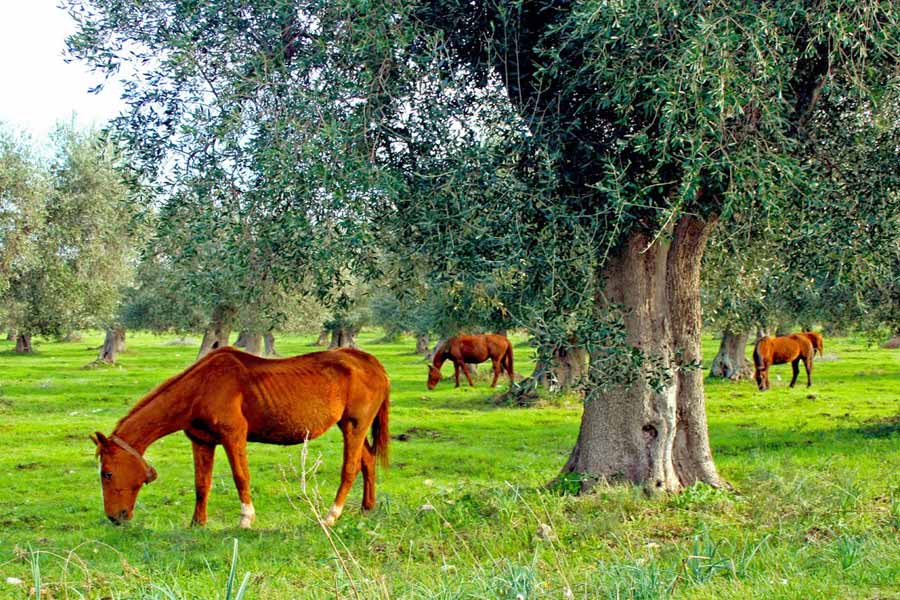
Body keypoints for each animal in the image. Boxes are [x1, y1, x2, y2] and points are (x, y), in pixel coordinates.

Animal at [89, 344, 388, 528]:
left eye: (107, 473)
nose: (114, 517)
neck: (200, 388)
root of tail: (371, 363)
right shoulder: (202, 441)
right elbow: (202, 484)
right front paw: (197, 523)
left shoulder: (233, 437)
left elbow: (240, 477)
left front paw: (246, 518)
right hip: (352, 428)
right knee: (367, 461)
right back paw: (367, 508)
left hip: (353, 427)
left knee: (350, 468)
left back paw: (331, 516)